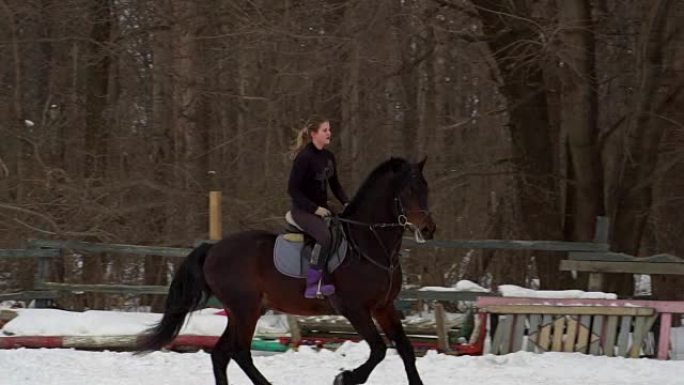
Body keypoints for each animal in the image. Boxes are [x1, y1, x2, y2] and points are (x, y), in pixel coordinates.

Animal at [136, 157, 436, 384]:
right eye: (409, 191)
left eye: (426, 189)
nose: (428, 230)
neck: (368, 243)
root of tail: (212, 249)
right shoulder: (354, 309)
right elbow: (379, 350)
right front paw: (345, 377)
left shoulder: (384, 307)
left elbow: (405, 350)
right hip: (245, 309)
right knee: (240, 352)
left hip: (243, 310)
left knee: (221, 354)